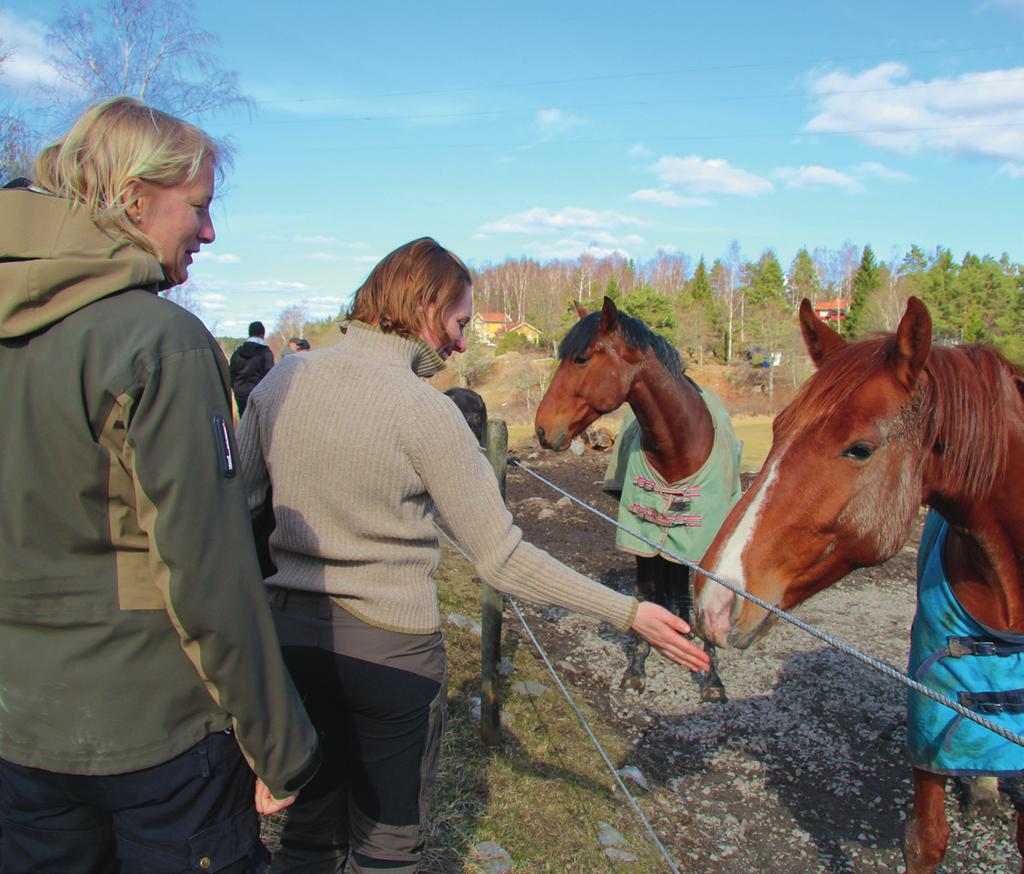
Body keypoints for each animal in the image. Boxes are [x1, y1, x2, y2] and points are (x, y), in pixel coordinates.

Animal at [532, 296, 741, 700]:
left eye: (581, 358)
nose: (542, 430)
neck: (680, 448)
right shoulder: (639, 536)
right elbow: (645, 593)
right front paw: (637, 666)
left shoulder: (702, 541)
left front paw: (712, 679)